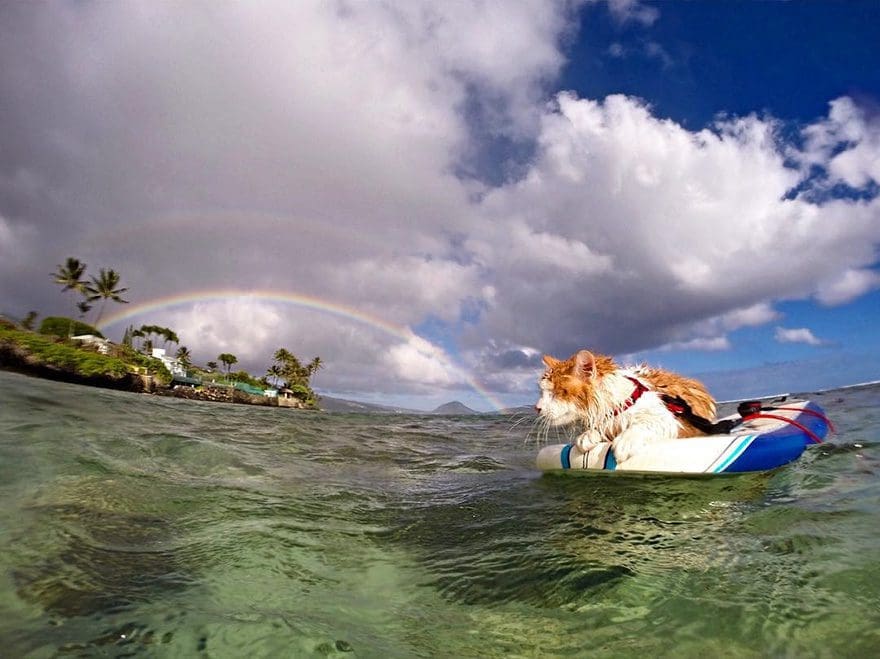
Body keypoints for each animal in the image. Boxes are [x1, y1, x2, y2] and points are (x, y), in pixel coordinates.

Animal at [536, 350, 716, 464]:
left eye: (557, 392)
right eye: (542, 391)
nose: (537, 408)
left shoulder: (669, 419)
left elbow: (642, 425)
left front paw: (626, 440)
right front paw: (587, 435)